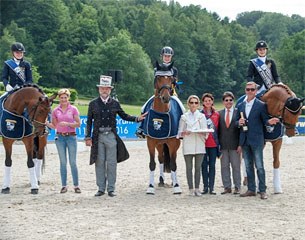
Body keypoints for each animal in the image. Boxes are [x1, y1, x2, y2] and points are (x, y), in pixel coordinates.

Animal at [145, 62, 182, 195]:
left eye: (171, 79)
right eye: (158, 78)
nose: (166, 98)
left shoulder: (173, 142)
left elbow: (173, 164)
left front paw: (177, 186)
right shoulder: (151, 142)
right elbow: (152, 164)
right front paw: (150, 187)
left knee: (171, 160)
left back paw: (173, 181)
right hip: (160, 143)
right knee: (161, 159)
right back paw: (161, 180)